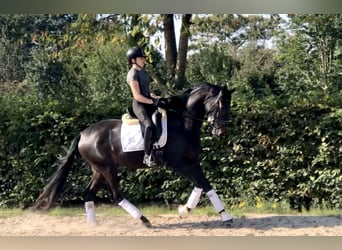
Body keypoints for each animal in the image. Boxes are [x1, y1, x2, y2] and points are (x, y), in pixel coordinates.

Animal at [32, 82, 235, 227]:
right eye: (220, 104)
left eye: (229, 106)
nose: (221, 133)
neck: (182, 123)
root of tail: (83, 133)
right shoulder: (179, 164)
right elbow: (201, 184)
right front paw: (186, 211)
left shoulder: (192, 162)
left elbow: (204, 185)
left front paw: (221, 215)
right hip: (108, 168)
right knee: (116, 195)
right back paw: (143, 220)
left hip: (98, 169)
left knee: (88, 194)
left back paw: (94, 225)